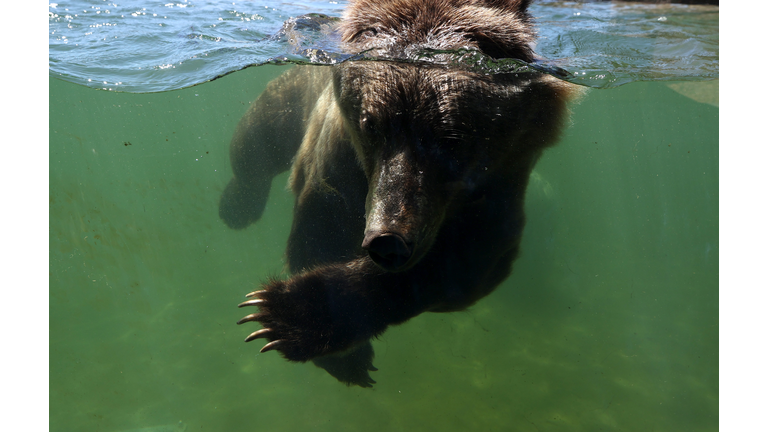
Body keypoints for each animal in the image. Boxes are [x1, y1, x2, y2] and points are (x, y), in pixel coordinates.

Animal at [219, 0, 580, 386]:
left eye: (451, 138)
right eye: (372, 125)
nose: (387, 239)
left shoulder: (502, 181)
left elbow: (465, 261)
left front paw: (284, 314)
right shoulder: (339, 159)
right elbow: (319, 229)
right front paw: (335, 348)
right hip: (295, 91)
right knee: (256, 141)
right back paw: (237, 206)